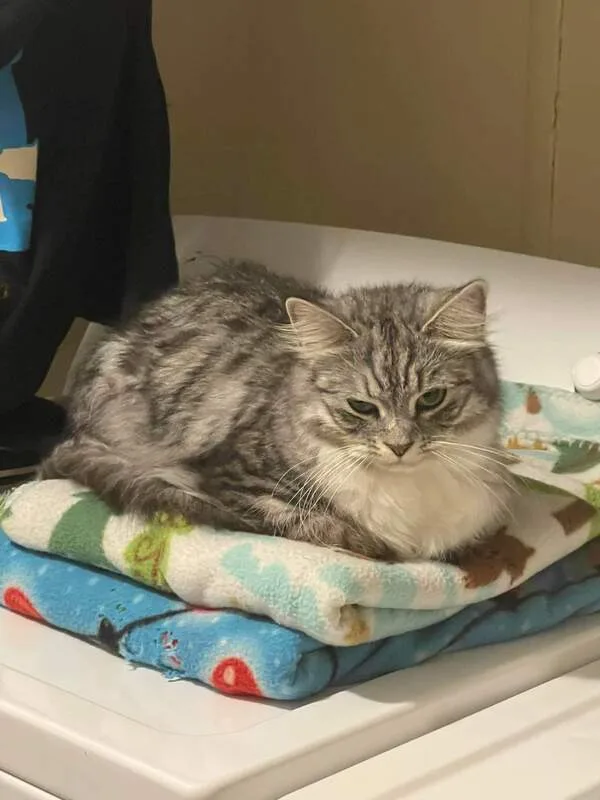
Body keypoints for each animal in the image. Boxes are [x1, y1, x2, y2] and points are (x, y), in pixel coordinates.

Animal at [40, 261, 512, 560]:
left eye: (430, 399)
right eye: (361, 407)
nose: (399, 447)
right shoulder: (233, 480)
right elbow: (317, 524)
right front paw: (367, 542)